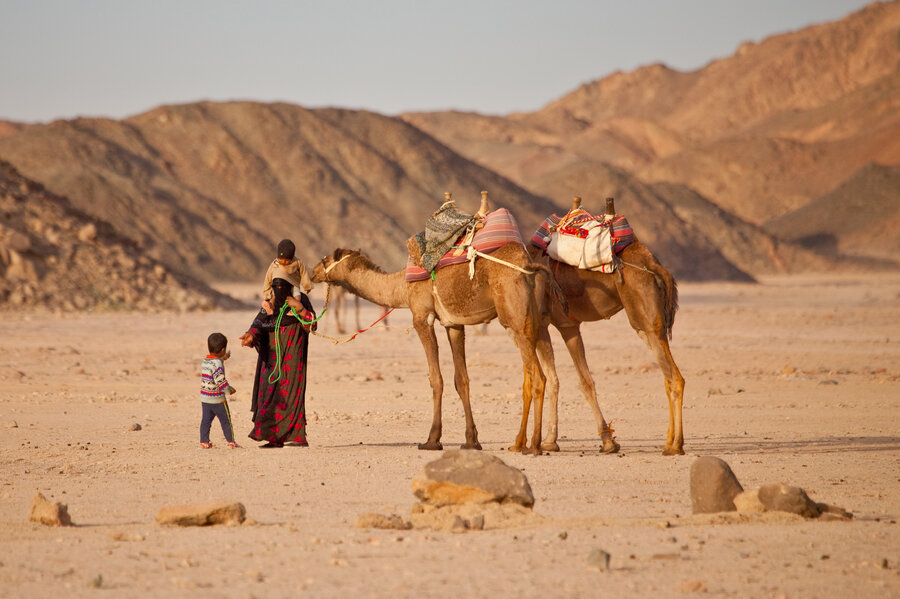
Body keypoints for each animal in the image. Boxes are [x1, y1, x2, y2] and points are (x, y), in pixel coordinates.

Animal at [310, 197, 552, 454]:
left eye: (325, 259)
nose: (313, 273)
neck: (402, 286)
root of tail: (530, 267)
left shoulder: (421, 317)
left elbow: (436, 379)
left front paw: (432, 440)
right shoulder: (453, 324)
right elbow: (461, 380)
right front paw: (471, 440)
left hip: (515, 319)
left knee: (537, 377)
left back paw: (533, 445)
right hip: (533, 322)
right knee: (535, 376)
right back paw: (520, 443)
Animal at [528, 197, 684, 454]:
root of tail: (655, 266)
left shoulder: (548, 324)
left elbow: (561, 380)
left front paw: (552, 440)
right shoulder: (566, 324)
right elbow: (577, 380)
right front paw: (606, 440)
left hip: (643, 318)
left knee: (673, 378)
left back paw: (674, 445)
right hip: (653, 324)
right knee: (669, 375)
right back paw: (670, 440)